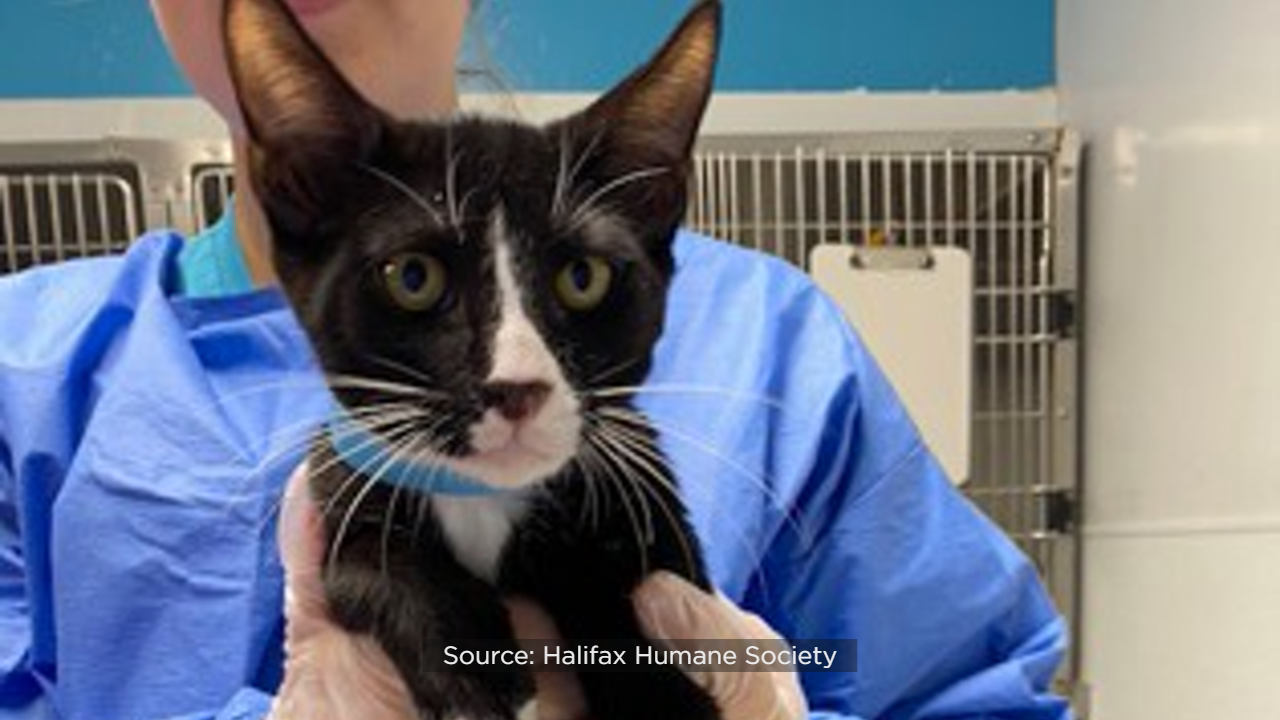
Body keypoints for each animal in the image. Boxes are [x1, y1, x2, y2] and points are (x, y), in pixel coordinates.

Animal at [227, 1, 732, 717]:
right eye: (413, 276)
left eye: (583, 277)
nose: (516, 388)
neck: (484, 498)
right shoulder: (339, 479)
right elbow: (363, 560)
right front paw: (470, 669)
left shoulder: (645, 499)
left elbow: (628, 587)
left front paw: (659, 694)